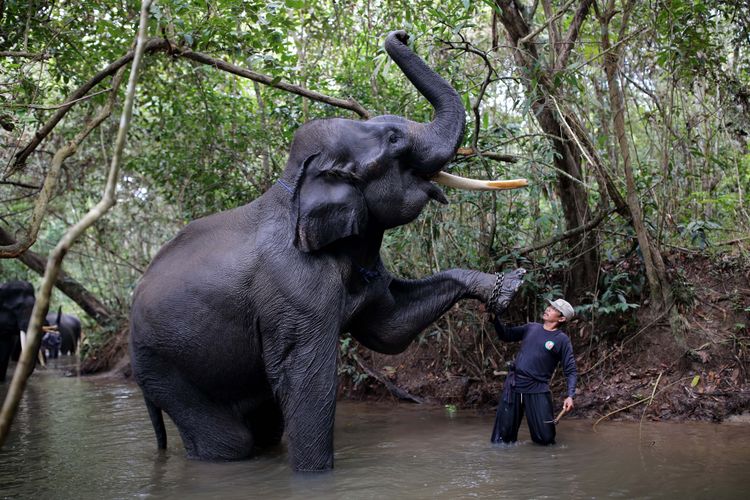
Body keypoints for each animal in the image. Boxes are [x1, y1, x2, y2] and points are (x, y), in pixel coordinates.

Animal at [131, 32, 528, 472]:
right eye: (394, 140)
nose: (402, 34)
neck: (296, 181)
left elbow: (389, 328)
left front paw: (509, 286)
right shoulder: (293, 290)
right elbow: (307, 380)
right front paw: (314, 475)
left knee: (264, 426)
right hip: (163, 363)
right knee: (230, 442)